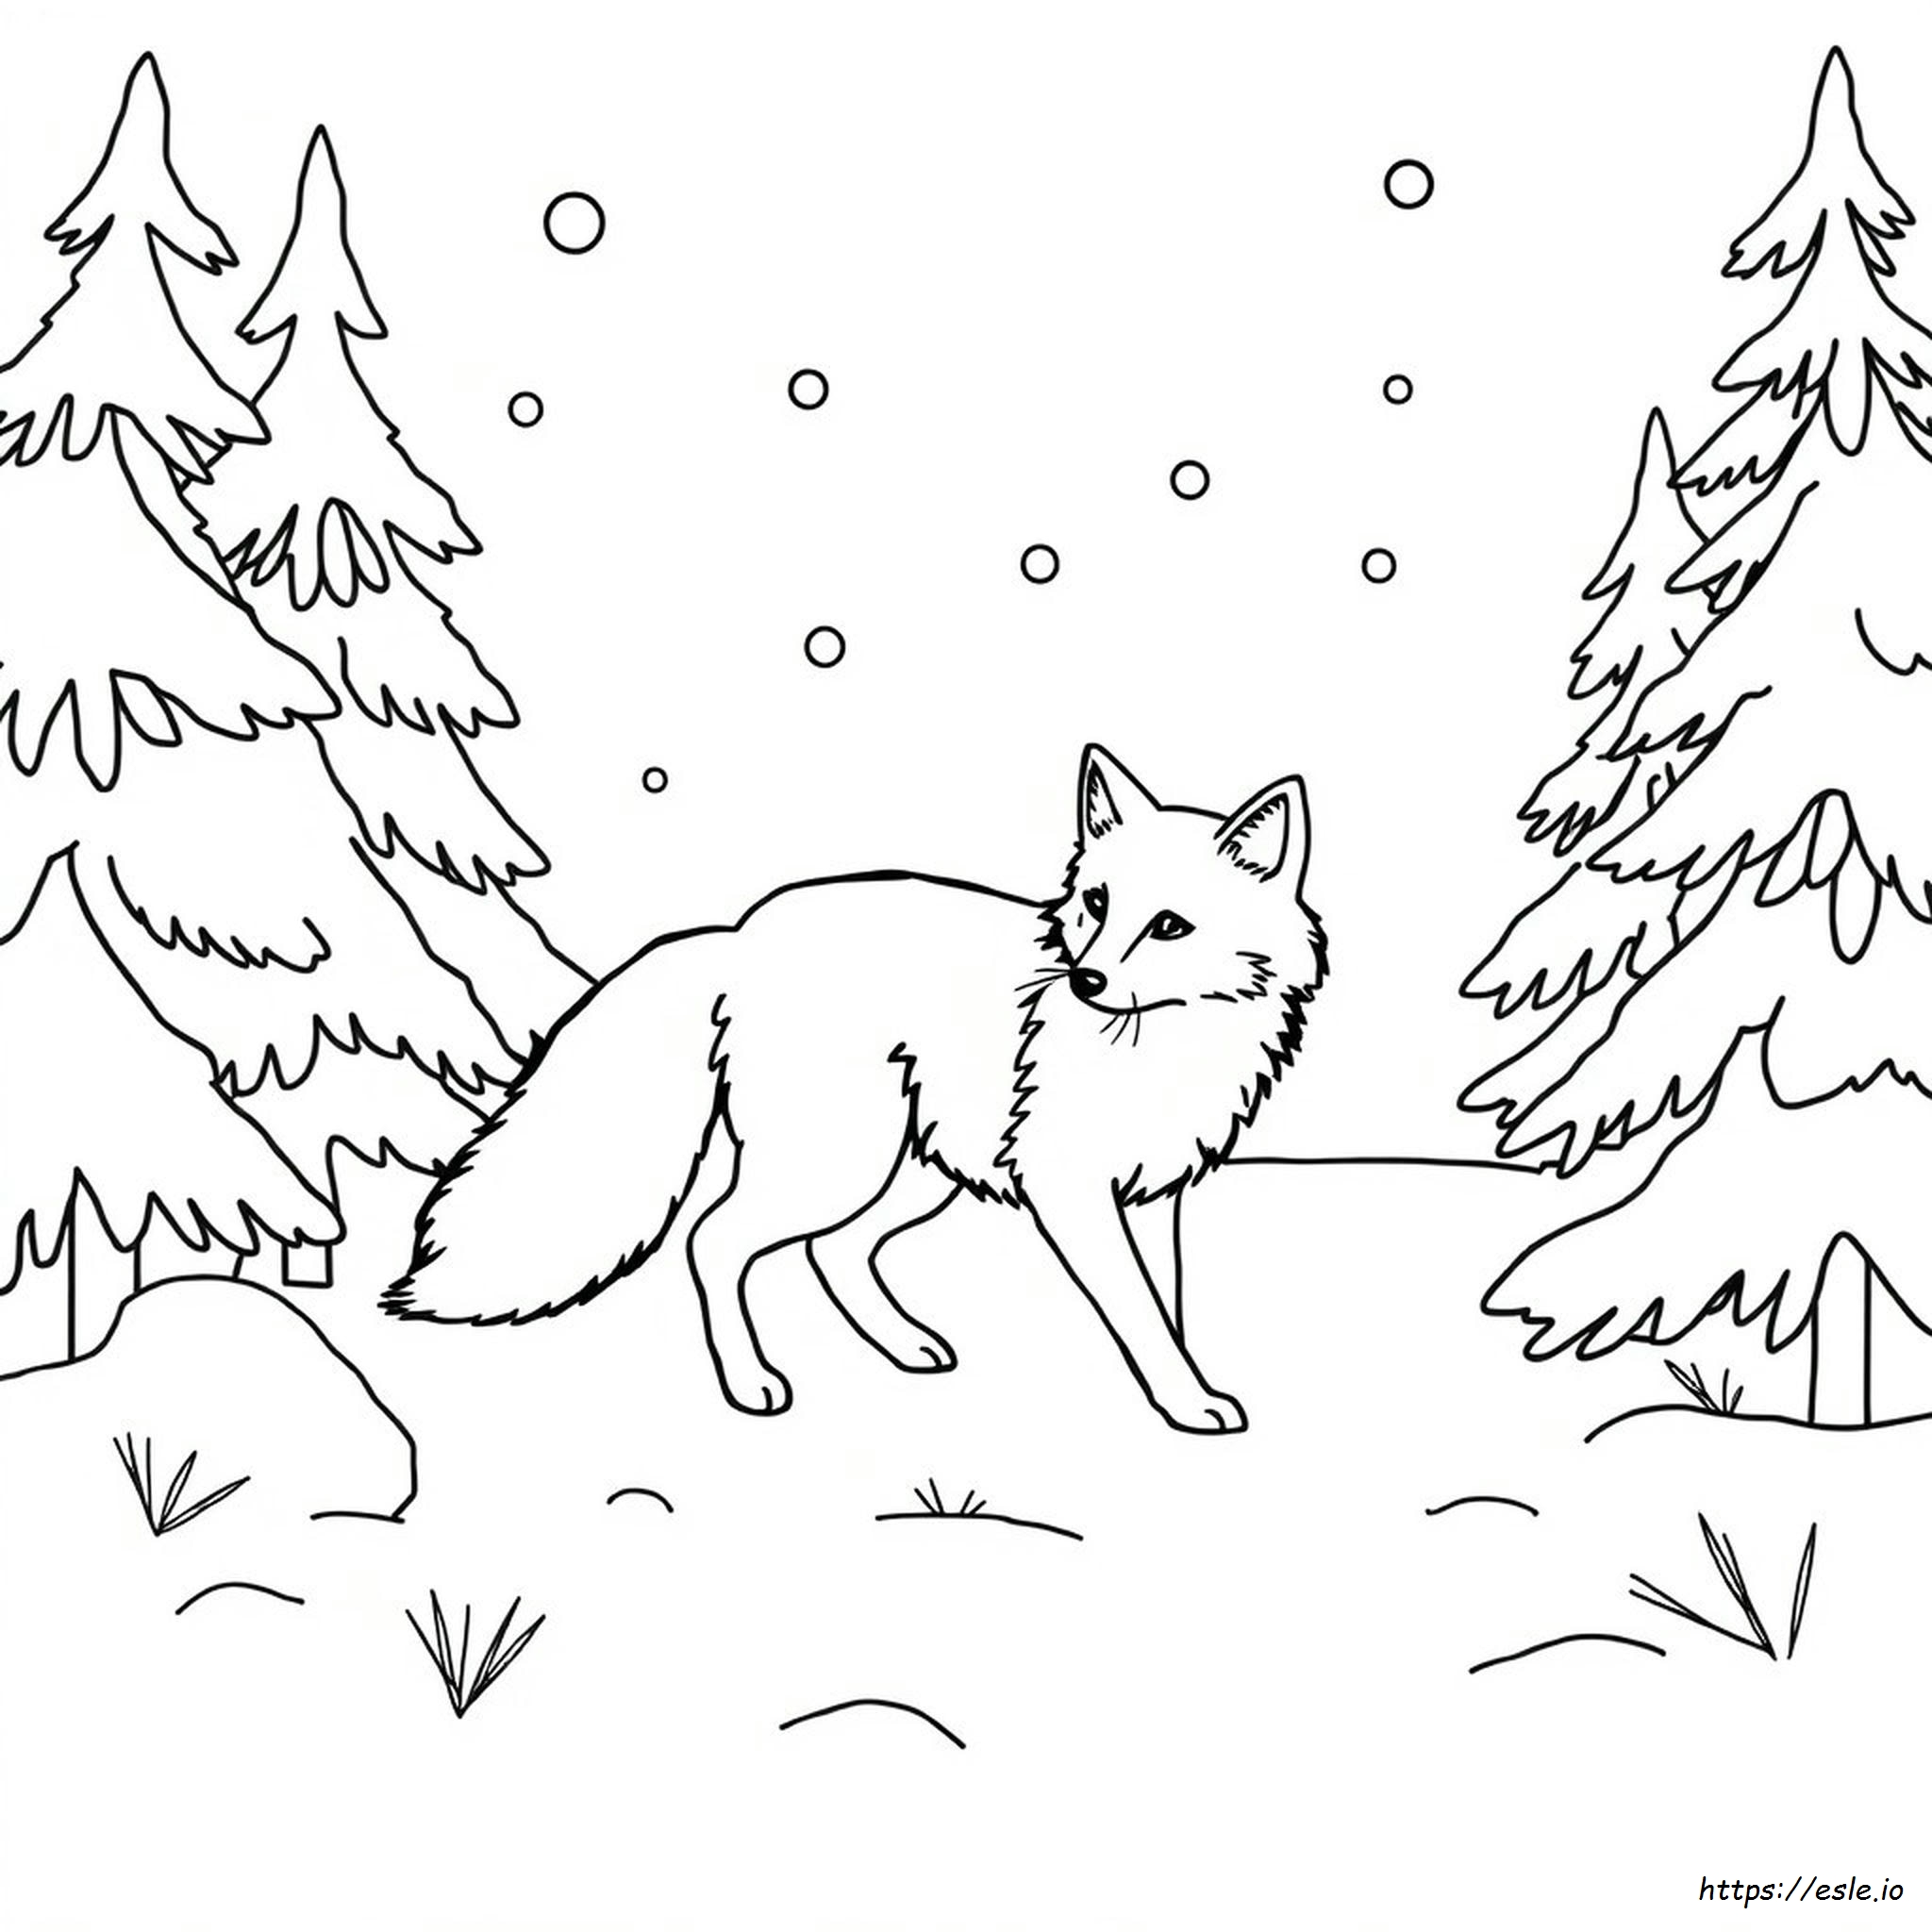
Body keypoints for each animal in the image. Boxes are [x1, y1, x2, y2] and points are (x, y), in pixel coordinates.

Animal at [384, 746, 1326, 1433]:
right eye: (1095, 904)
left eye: (1169, 926)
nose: (1086, 979)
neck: (1159, 1046)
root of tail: (736, 935)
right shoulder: (1073, 1192)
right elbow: (1138, 1311)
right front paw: (1186, 1403)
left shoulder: (1152, 1193)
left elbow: (1164, 1307)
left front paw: (1182, 1394)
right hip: (839, 1168)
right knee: (715, 1241)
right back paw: (751, 1384)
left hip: (908, 1173)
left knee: (834, 1252)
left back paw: (906, 1349)